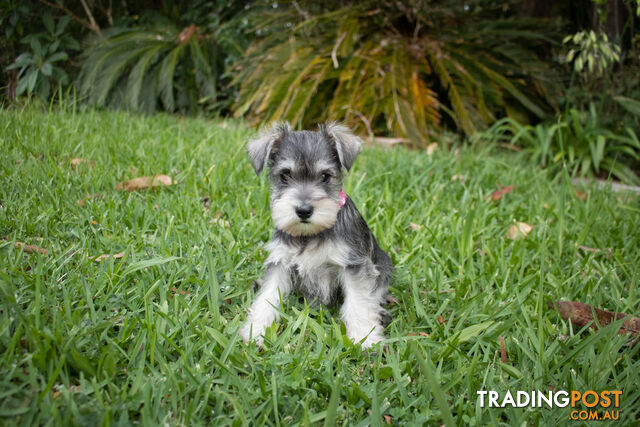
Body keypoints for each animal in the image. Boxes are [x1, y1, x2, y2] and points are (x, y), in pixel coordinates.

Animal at [238, 122, 392, 350]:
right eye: (285, 175)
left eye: (325, 176)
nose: (303, 210)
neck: (309, 234)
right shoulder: (280, 262)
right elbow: (268, 296)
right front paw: (255, 330)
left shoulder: (354, 264)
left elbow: (359, 302)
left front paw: (365, 339)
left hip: (383, 264)